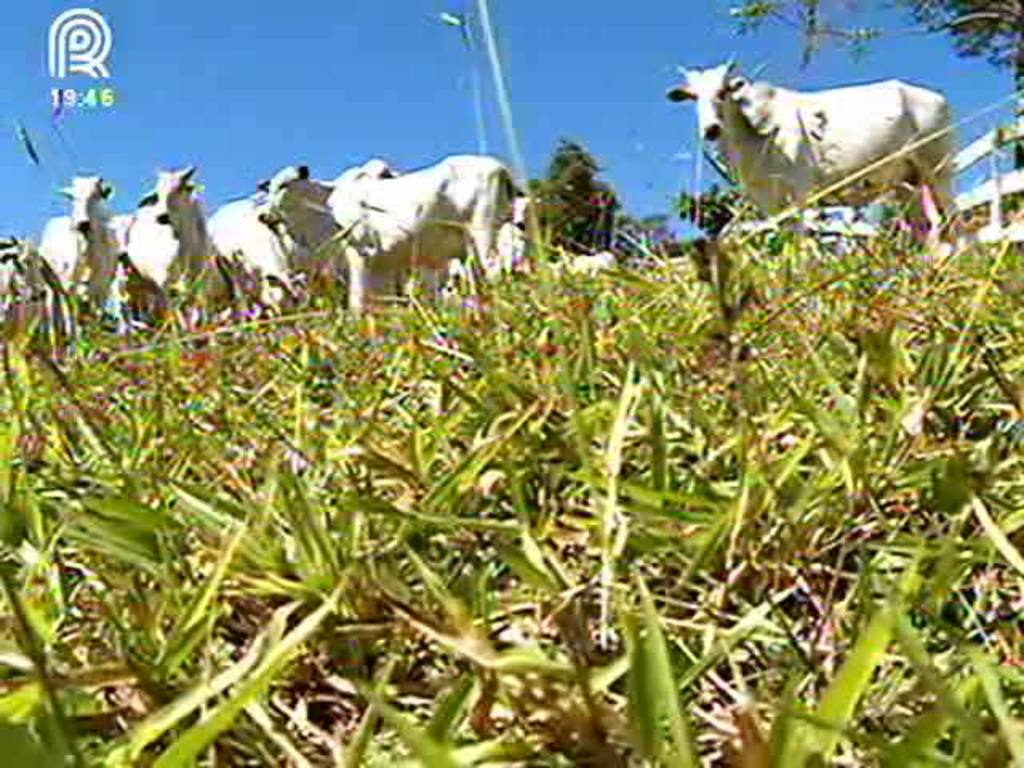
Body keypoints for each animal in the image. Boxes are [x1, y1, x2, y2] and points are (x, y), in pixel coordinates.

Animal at [325, 154, 520, 313]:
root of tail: (500, 169)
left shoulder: (360, 252)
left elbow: (358, 298)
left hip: (483, 230)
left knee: (494, 268)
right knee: (478, 278)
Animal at [667, 61, 954, 228]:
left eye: (724, 92)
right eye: (693, 96)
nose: (711, 129)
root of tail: (938, 97)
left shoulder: (802, 195)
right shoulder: (771, 207)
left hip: (939, 172)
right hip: (907, 185)